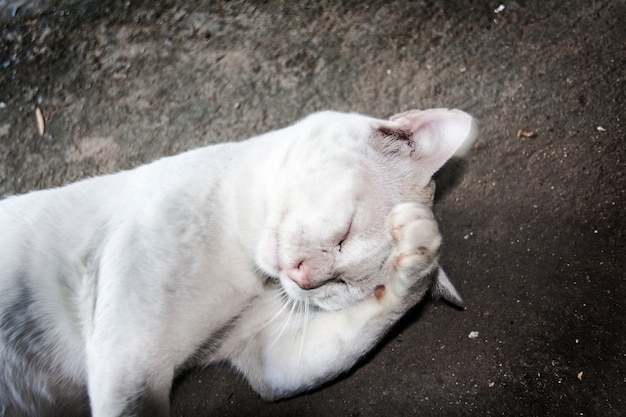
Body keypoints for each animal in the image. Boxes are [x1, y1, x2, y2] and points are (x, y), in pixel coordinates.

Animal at [0, 108, 472, 416]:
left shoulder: (265, 357)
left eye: (341, 287)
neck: (247, 274)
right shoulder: (128, 365)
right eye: (345, 233)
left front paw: (417, 258)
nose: (305, 277)